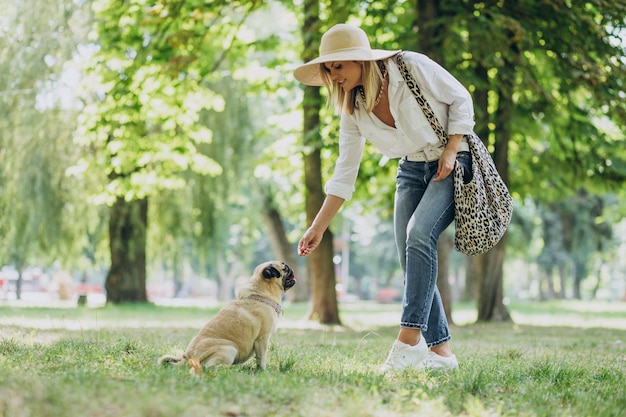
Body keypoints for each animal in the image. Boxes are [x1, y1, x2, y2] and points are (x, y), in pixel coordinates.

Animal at [155, 260, 294, 374]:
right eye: (285, 268)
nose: (291, 268)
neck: (260, 295)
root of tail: (187, 358)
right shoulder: (262, 339)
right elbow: (262, 359)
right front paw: (263, 371)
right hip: (230, 349)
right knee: (209, 367)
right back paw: (231, 369)